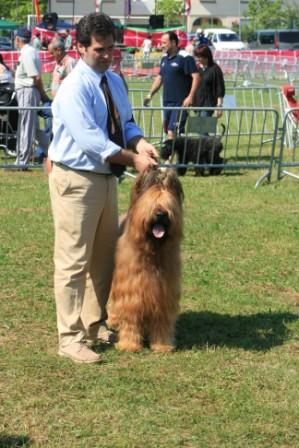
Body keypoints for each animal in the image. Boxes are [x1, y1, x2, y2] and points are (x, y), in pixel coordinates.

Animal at [109, 166, 184, 352]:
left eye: (167, 204)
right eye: (151, 203)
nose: (160, 214)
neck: (152, 253)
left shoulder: (165, 292)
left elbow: (162, 320)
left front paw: (162, 345)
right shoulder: (131, 290)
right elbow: (130, 317)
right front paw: (129, 344)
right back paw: (113, 319)